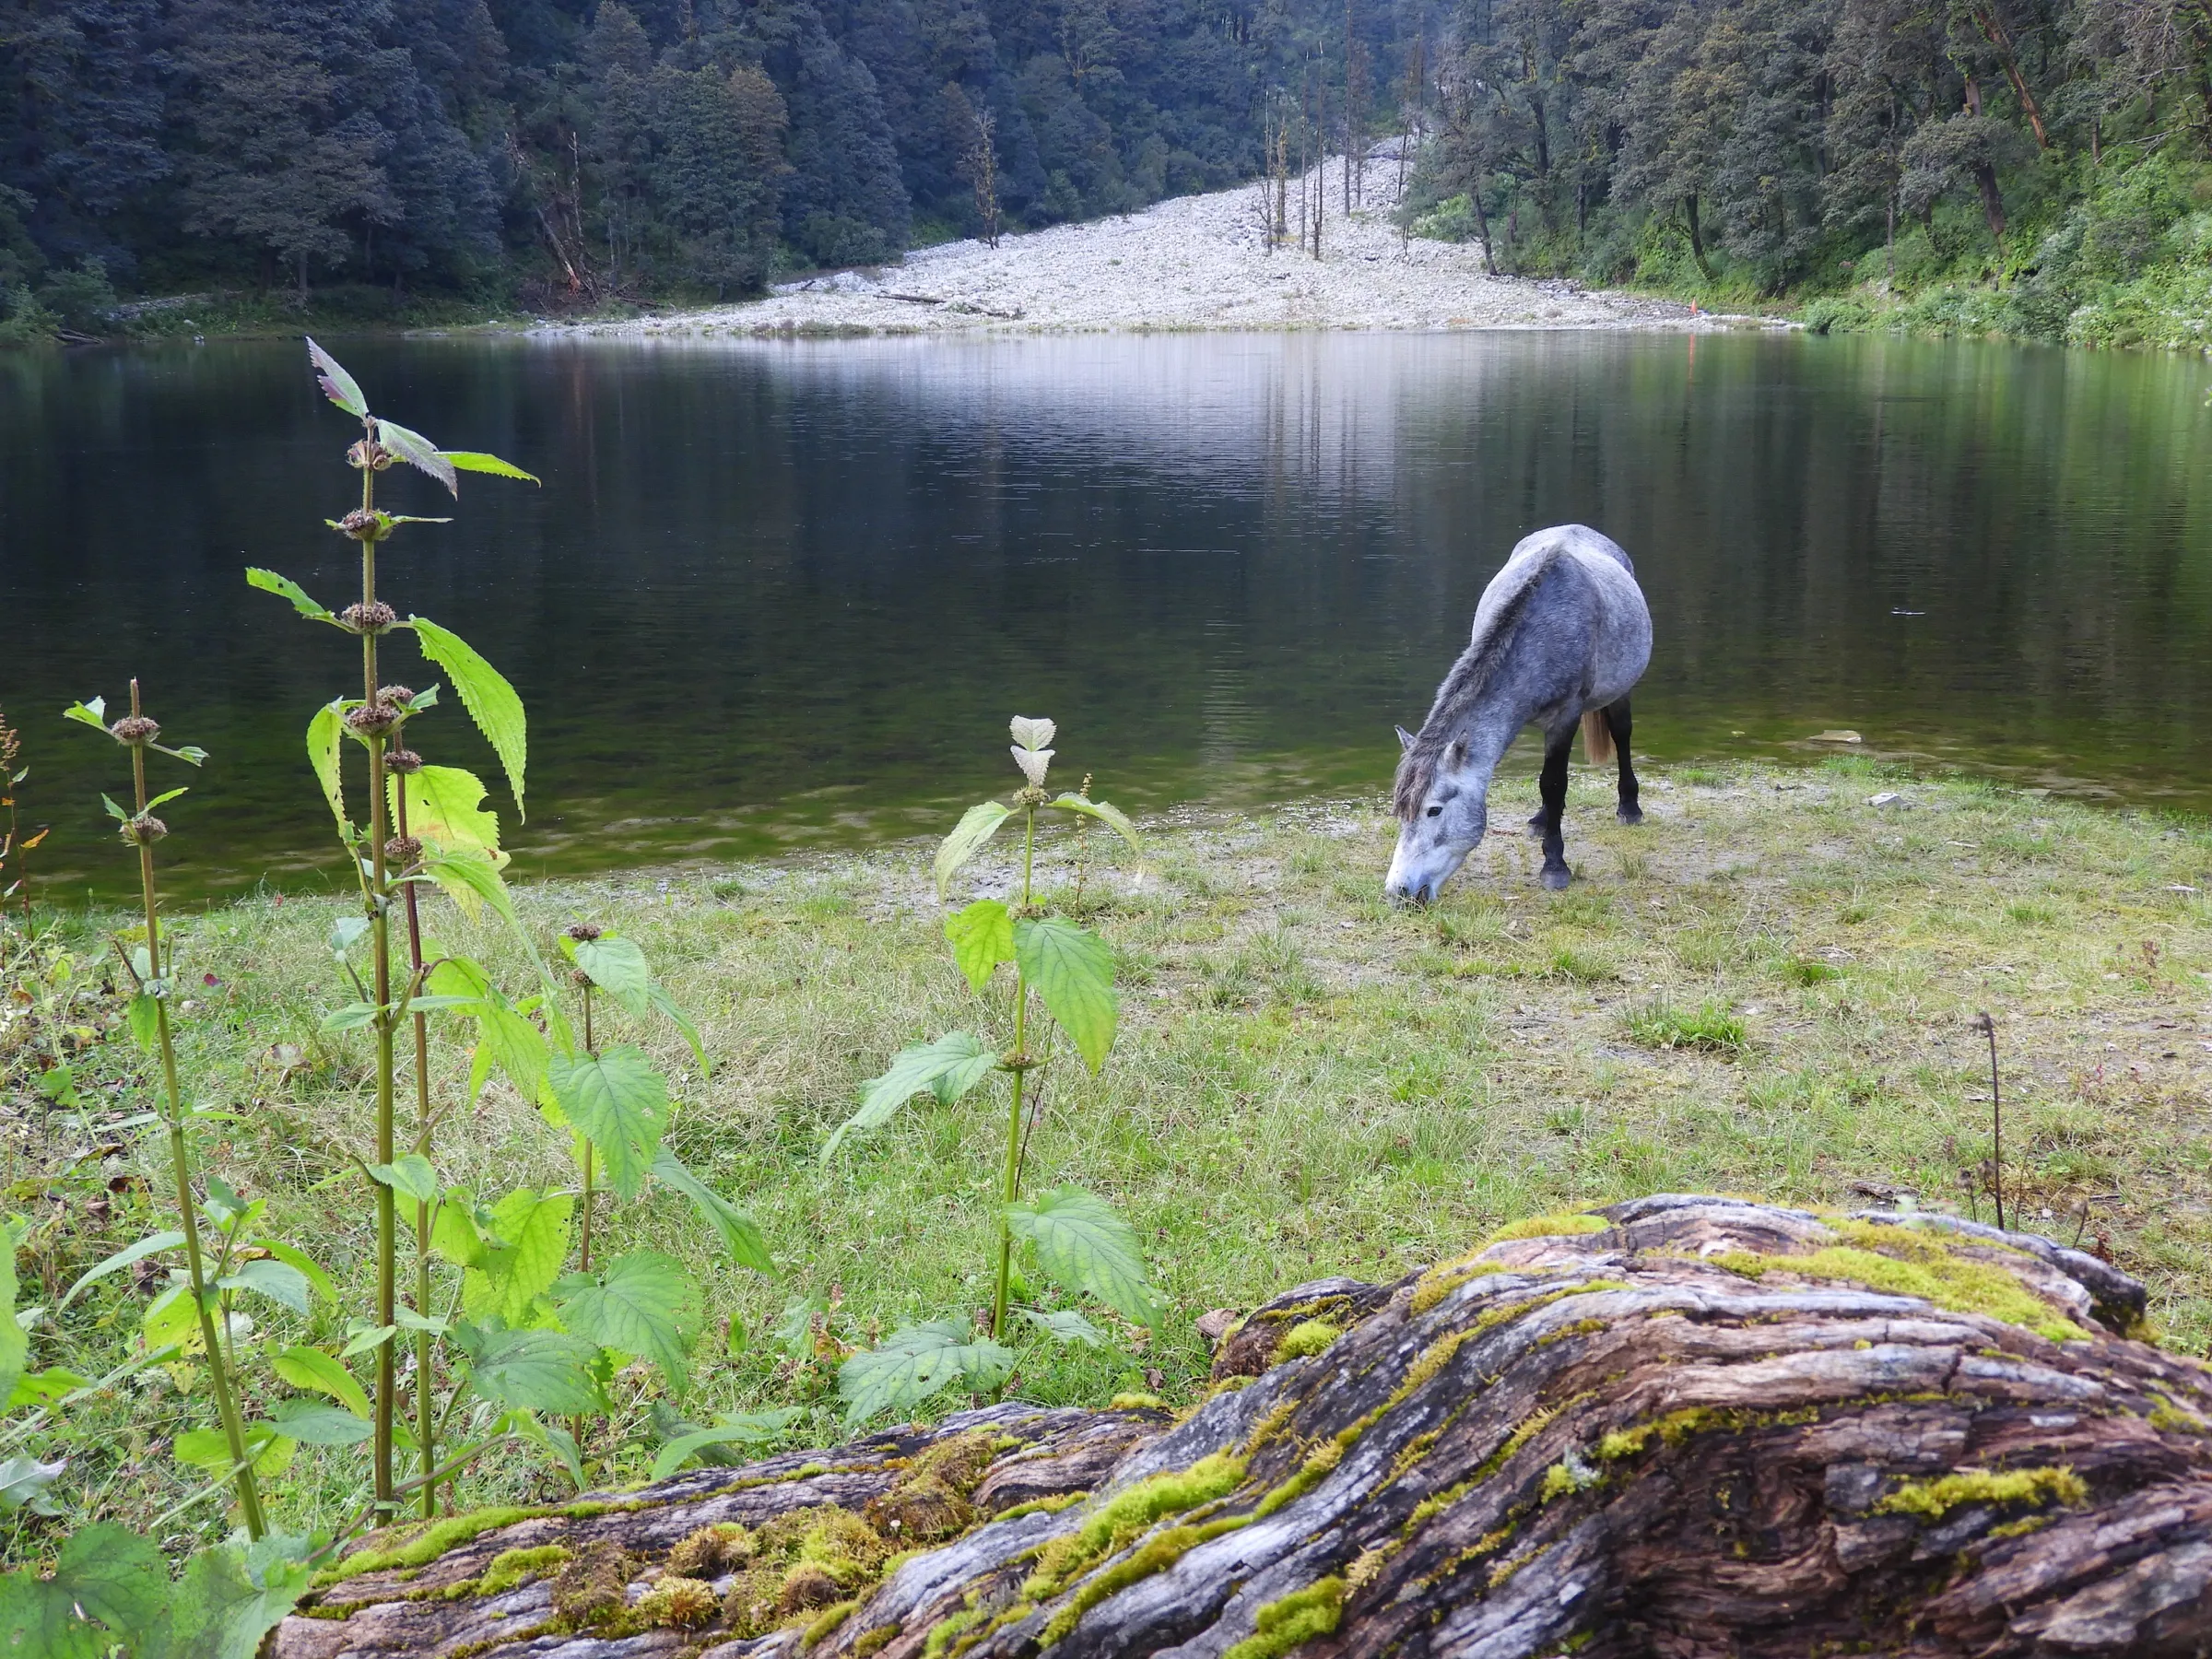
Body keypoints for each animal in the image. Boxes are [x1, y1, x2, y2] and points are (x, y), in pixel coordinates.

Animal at [1385, 524, 1652, 902]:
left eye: (1434, 810)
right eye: (1399, 811)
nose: (1399, 892)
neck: (1541, 632)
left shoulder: (1566, 717)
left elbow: (1554, 784)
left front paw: (1555, 866)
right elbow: (1549, 783)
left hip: (1620, 692)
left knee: (1621, 733)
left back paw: (1629, 808)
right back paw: (1541, 820)